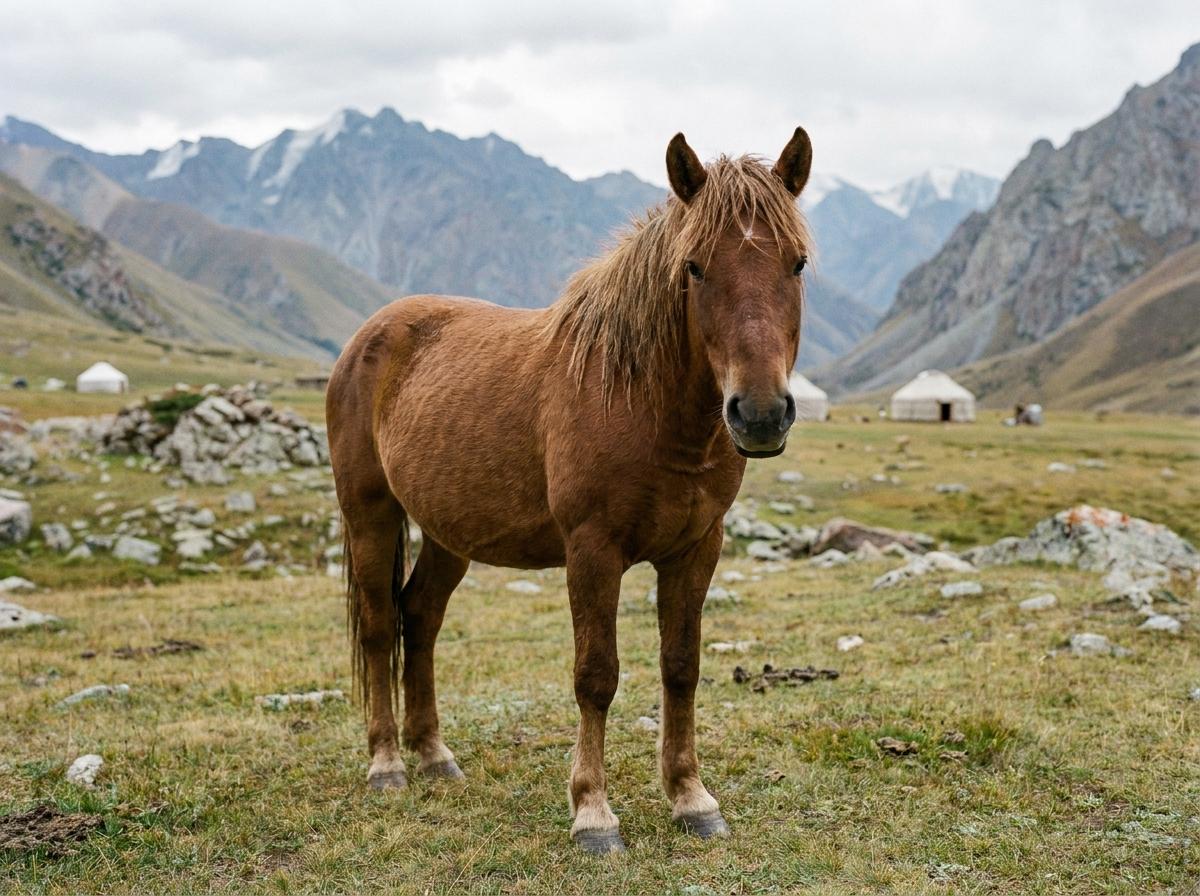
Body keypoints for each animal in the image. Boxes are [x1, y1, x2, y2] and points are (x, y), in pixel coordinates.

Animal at [327, 128, 813, 854]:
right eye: (694, 267)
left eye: (798, 264)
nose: (758, 415)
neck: (640, 400)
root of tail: (370, 334)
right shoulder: (592, 551)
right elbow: (596, 676)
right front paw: (593, 812)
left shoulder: (697, 549)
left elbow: (681, 666)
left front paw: (691, 797)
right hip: (371, 515)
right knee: (383, 624)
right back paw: (387, 762)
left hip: (448, 535)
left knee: (422, 616)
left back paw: (434, 755)